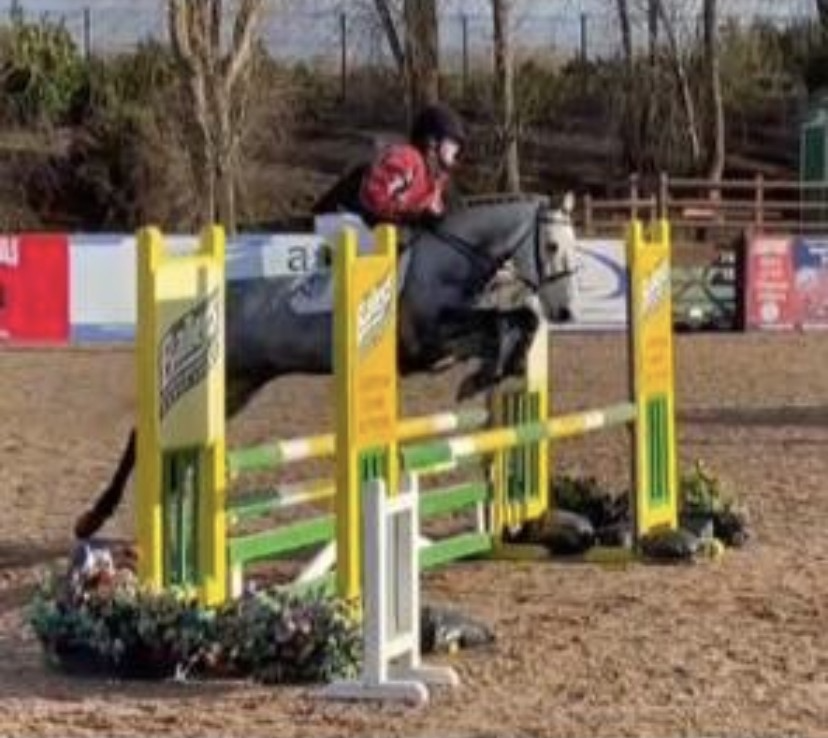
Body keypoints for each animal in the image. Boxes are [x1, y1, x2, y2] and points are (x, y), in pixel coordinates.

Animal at [74, 194, 578, 539]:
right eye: (552, 246)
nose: (567, 311)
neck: (454, 255)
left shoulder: (452, 339)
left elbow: (516, 321)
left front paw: (493, 371)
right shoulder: (426, 338)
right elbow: (504, 322)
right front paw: (482, 376)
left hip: (238, 384)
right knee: (143, 435)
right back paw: (92, 518)